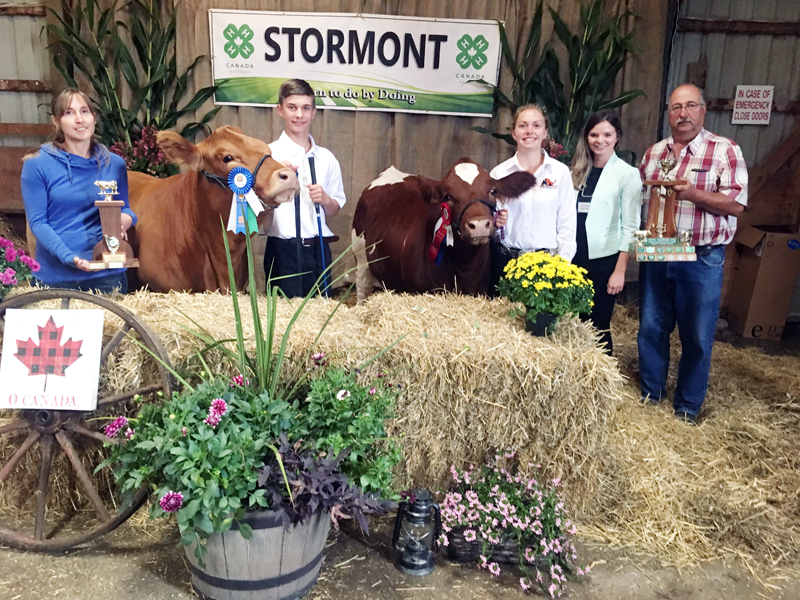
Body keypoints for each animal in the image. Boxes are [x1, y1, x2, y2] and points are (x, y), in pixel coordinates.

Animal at [352, 159, 536, 304]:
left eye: (493, 191)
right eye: (448, 196)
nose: (479, 225)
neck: (465, 269)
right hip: (360, 256)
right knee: (362, 287)